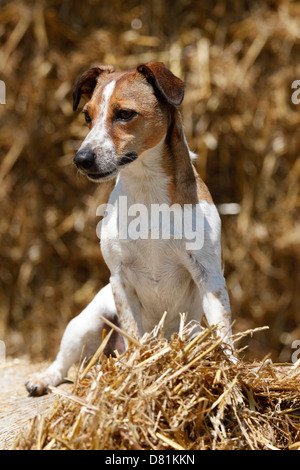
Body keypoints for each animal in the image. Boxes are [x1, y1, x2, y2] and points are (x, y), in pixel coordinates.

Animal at [25, 60, 232, 394]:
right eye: (87, 117)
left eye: (124, 114)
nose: (81, 159)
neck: (147, 193)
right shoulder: (120, 278)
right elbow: (134, 332)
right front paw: (136, 368)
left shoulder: (209, 277)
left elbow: (224, 334)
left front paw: (232, 374)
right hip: (86, 322)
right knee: (62, 362)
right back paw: (44, 378)